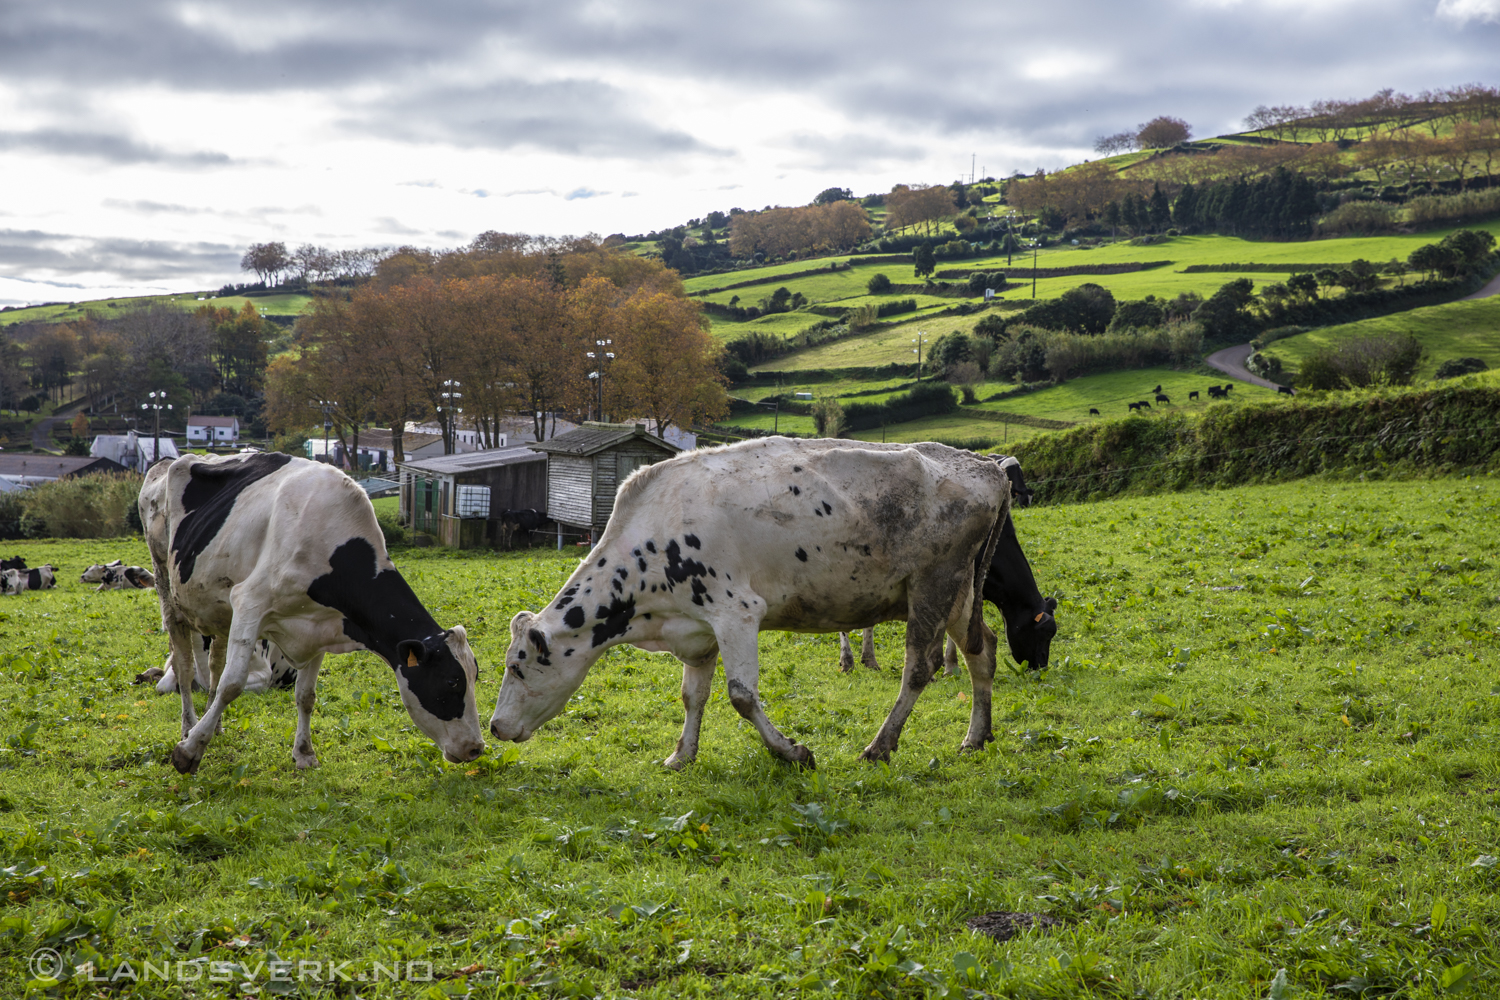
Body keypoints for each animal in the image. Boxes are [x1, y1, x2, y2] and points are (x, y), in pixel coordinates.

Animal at [138, 452, 483, 773]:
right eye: (452, 681)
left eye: (474, 676)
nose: (476, 748)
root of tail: (174, 459)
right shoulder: (250, 602)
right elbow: (232, 684)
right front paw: (189, 751)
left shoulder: (319, 626)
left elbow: (306, 695)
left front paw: (304, 753)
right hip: (167, 586)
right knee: (184, 668)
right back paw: (188, 727)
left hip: (220, 610)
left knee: (213, 665)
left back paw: (215, 726)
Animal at [492, 437, 1008, 767]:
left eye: (517, 667)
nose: (496, 727)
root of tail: (985, 465)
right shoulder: (697, 629)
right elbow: (692, 695)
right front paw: (681, 755)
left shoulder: (736, 612)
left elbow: (741, 696)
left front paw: (792, 752)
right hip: (960, 593)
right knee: (982, 649)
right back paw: (975, 738)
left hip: (933, 584)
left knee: (919, 668)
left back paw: (880, 746)